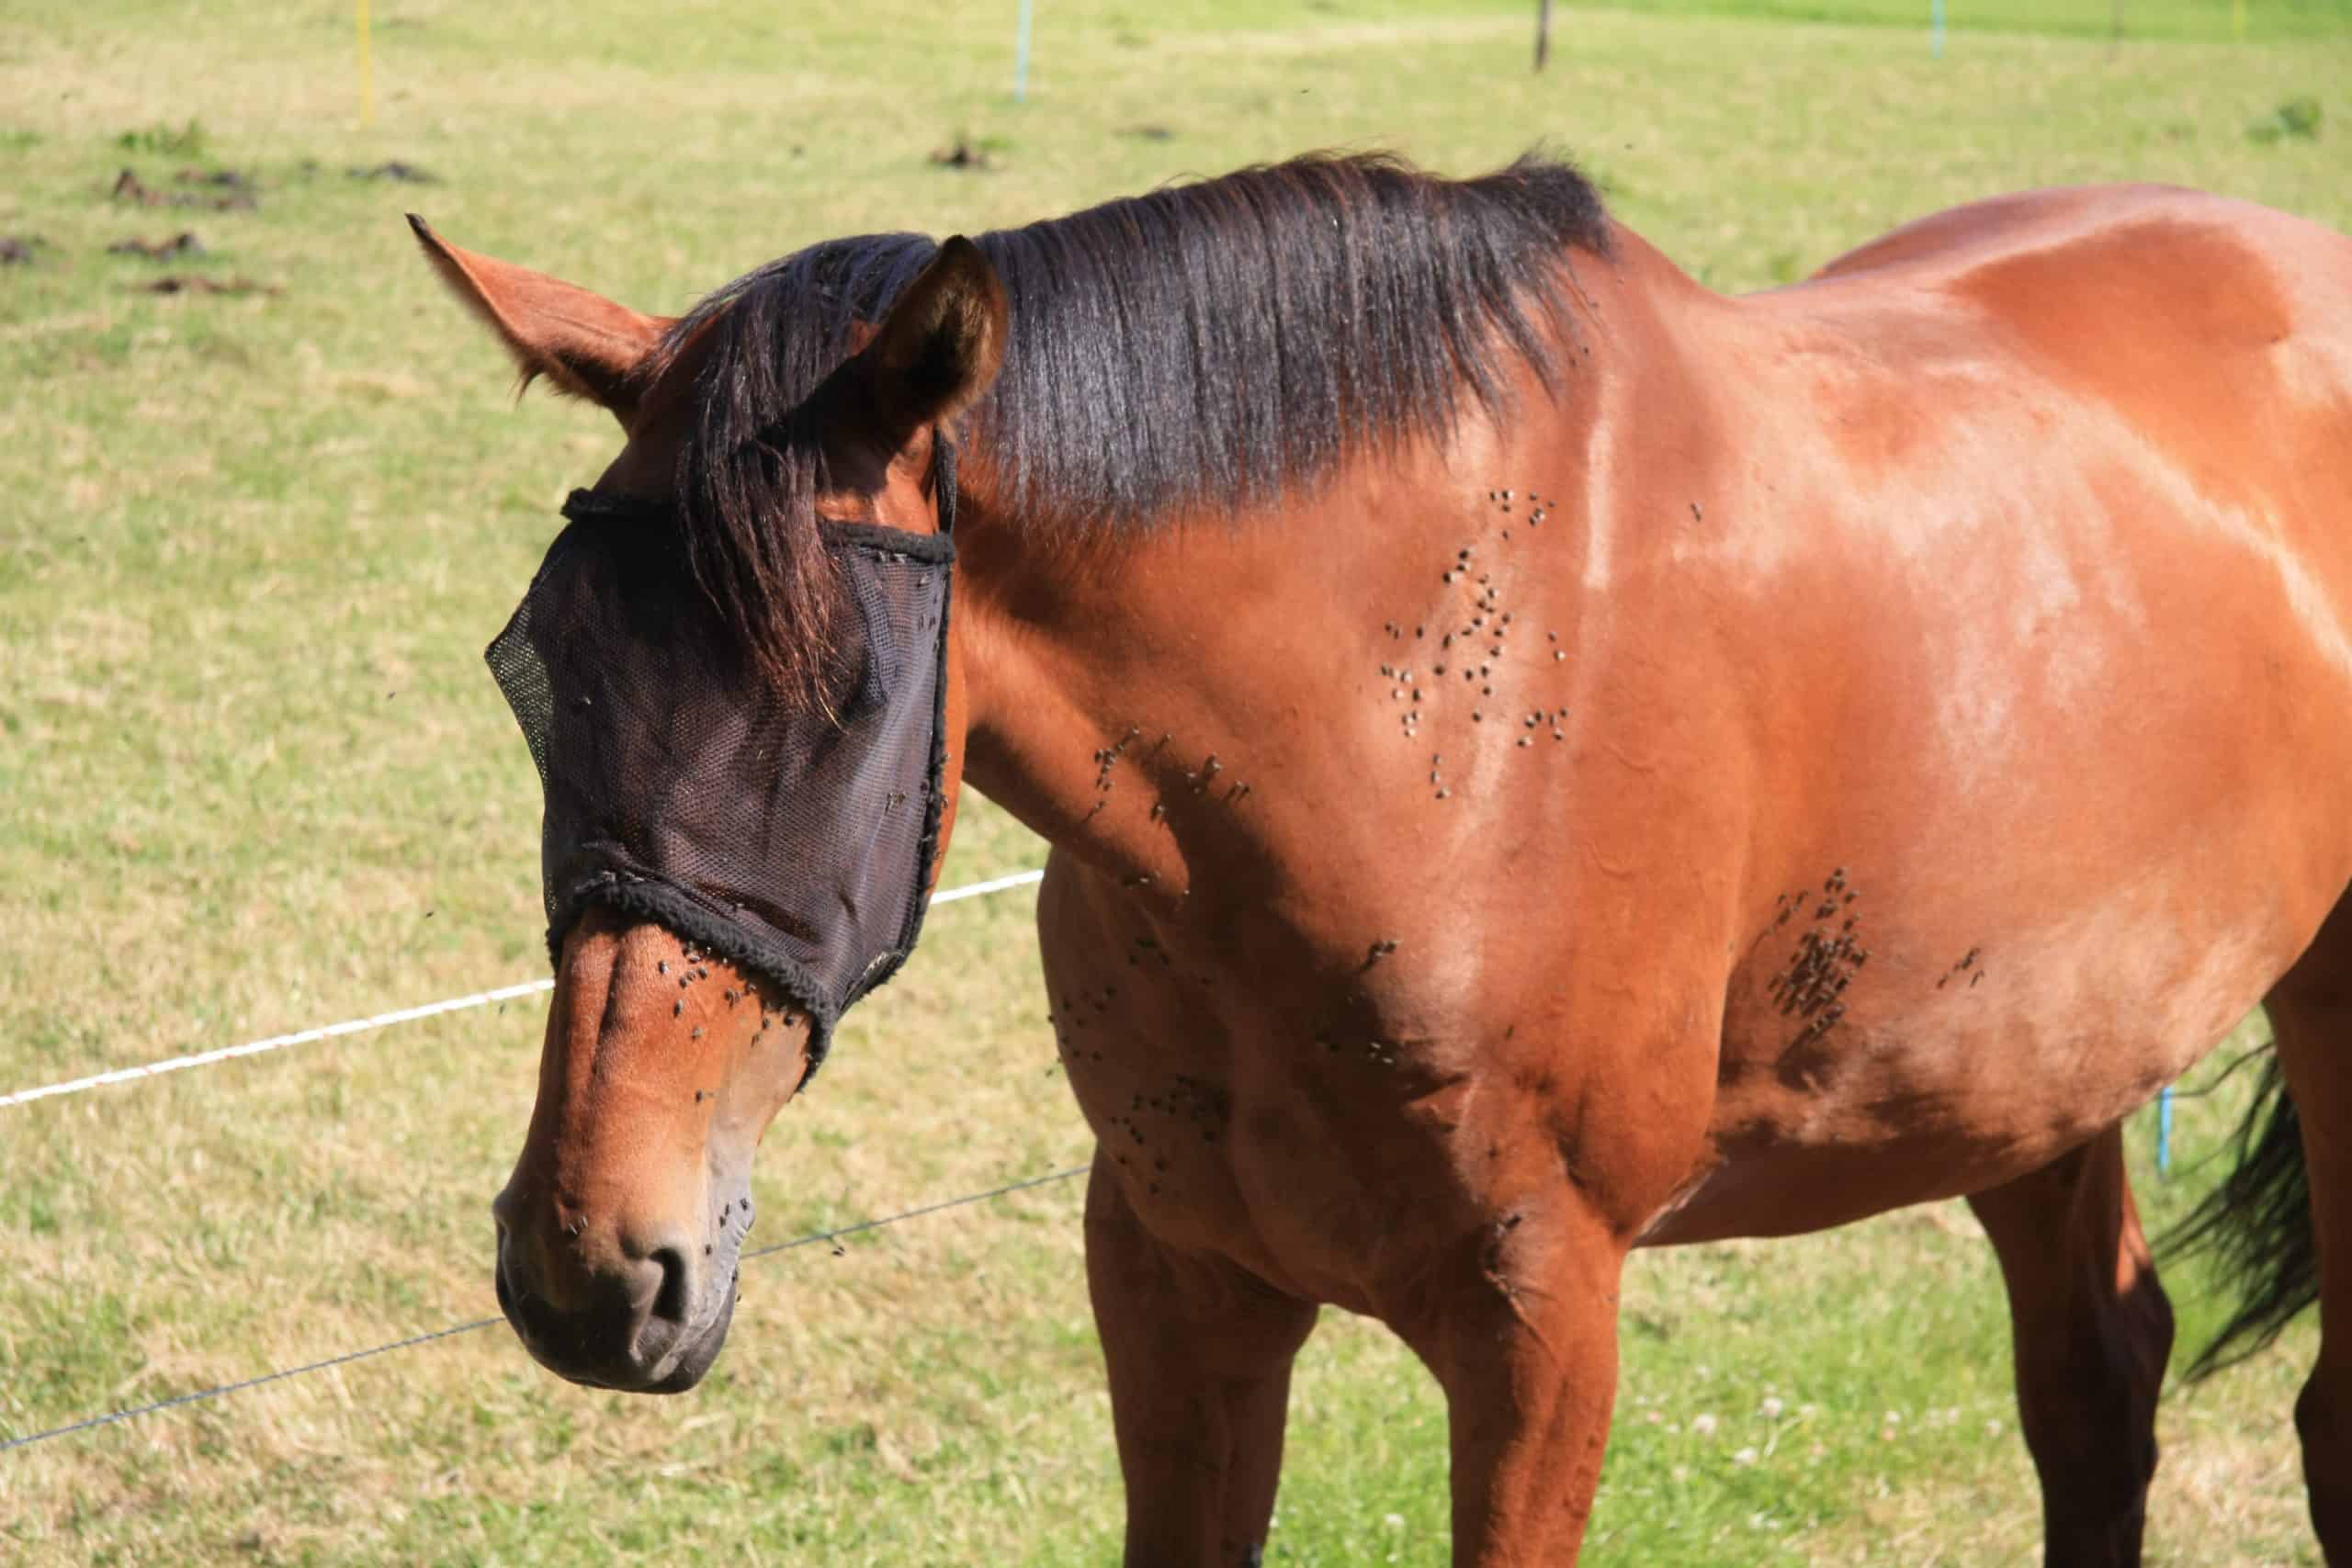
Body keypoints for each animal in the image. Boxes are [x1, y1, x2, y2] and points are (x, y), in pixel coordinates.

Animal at [413, 150, 2352, 1568]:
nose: (592, 1264)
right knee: (2098, 1388)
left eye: (845, 700)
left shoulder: (1542, 1318)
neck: (1406, 745)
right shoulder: (1178, 1276)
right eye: (537, 664)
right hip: (2033, 1071)